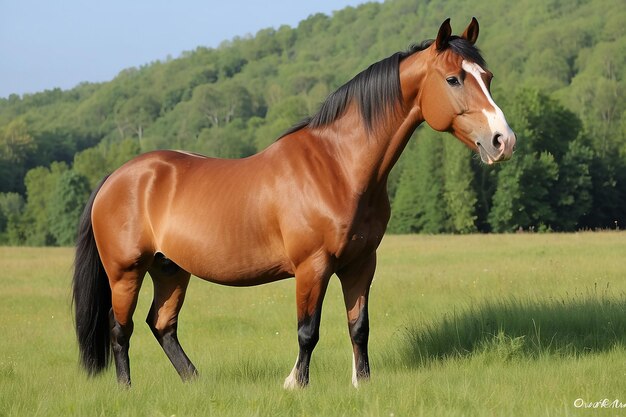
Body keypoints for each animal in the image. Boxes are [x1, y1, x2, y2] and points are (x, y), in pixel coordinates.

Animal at [72, 17, 512, 388]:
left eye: (487, 77)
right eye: (453, 78)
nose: (502, 141)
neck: (337, 167)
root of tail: (116, 177)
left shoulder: (361, 264)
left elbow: (359, 327)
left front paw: (362, 384)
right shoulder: (312, 267)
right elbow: (307, 331)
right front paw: (296, 384)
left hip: (170, 269)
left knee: (162, 324)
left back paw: (195, 382)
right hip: (126, 272)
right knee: (121, 329)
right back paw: (127, 390)